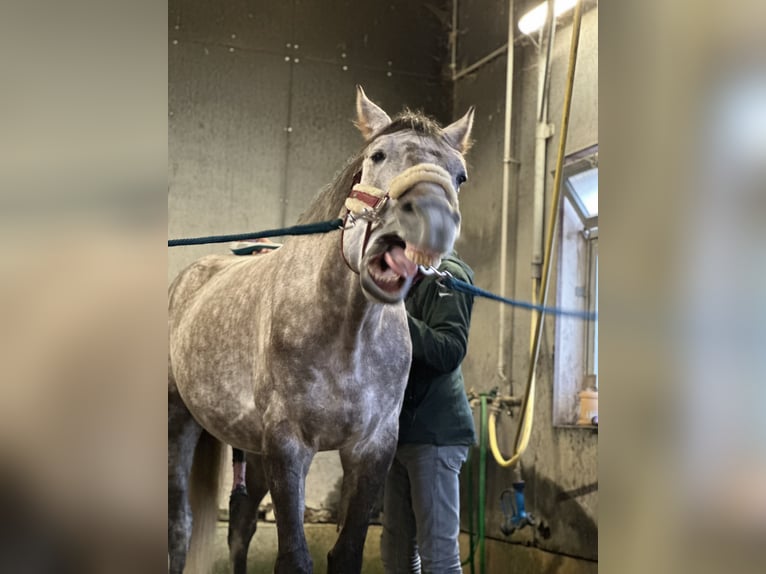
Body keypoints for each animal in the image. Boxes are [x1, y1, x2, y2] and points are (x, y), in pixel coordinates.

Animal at [168, 86, 474, 574]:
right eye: (377, 155)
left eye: (459, 175)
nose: (430, 218)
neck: (349, 335)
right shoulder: (288, 444)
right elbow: (294, 558)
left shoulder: (371, 450)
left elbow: (345, 554)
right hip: (179, 422)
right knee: (179, 527)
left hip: (252, 452)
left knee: (239, 526)